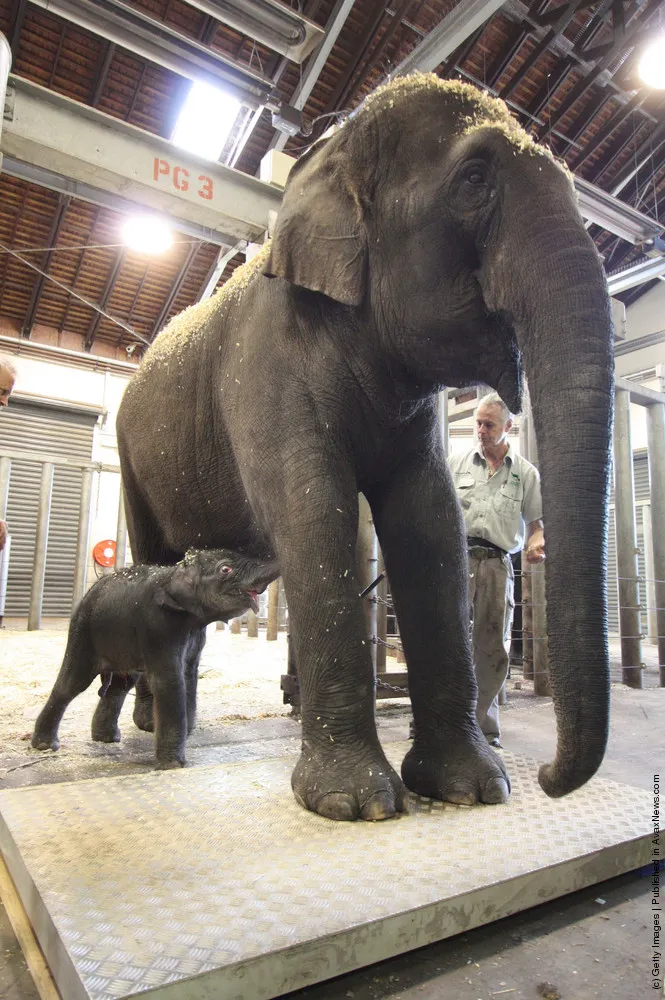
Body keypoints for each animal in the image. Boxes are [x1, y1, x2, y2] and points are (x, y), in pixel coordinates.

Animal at [32, 548, 278, 767]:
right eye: (225, 569)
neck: (174, 572)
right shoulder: (158, 626)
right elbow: (169, 680)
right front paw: (173, 765)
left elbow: (189, 675)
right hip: (82, 631)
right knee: (73, 683)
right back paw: (45, 745)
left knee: (121, 685)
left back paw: (107, 739)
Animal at [116, 71, 613, 820]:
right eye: (473, 179)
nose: (552, 778)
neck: (335, 150)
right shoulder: (266, 363)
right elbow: (312, 509)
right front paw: (356, 805)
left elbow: (429, 522)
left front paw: (472, 788)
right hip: (130, 455)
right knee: (155, 559)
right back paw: (152, 725)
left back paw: (184, 722)